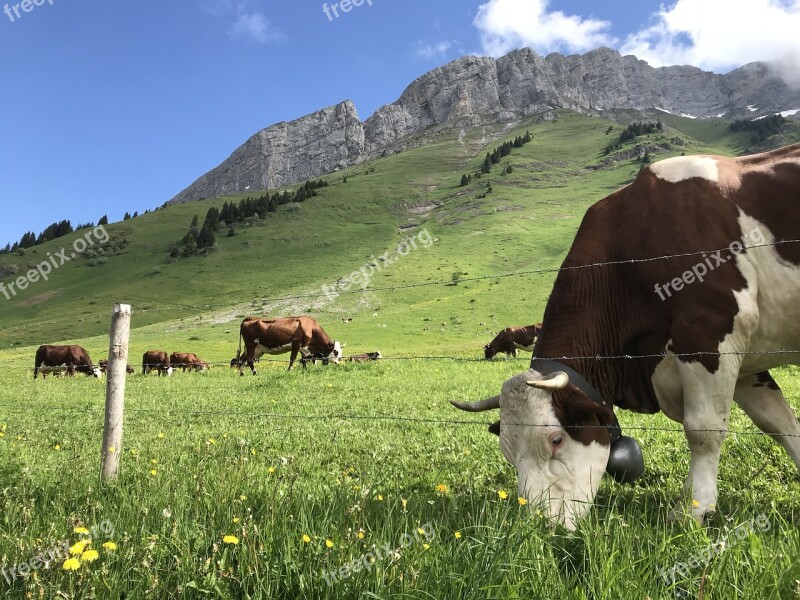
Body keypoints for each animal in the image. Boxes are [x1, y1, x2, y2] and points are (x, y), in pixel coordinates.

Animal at [454, 144, 800, 528]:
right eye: (508, 451)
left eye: (556, 439)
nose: (541, 525)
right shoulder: (744, 366)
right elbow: (780, 422)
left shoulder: (710, 329)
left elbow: (703, 430)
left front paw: (692, 509)